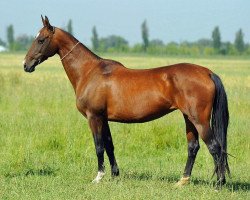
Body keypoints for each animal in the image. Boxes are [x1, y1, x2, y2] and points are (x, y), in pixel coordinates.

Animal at [23, 16, 230, 187]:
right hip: (188, 118)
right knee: (193, 147)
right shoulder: (104, 119)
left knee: (215, 147)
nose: (26, 65)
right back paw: (183, 181)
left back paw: (219, 184)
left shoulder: (94, 117)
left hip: (199, 120)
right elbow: (109, 145)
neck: (90, 72)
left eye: (41, 39)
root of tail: (207, 72)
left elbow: (99, 146)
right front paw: (115, 175)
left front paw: (98, 177)